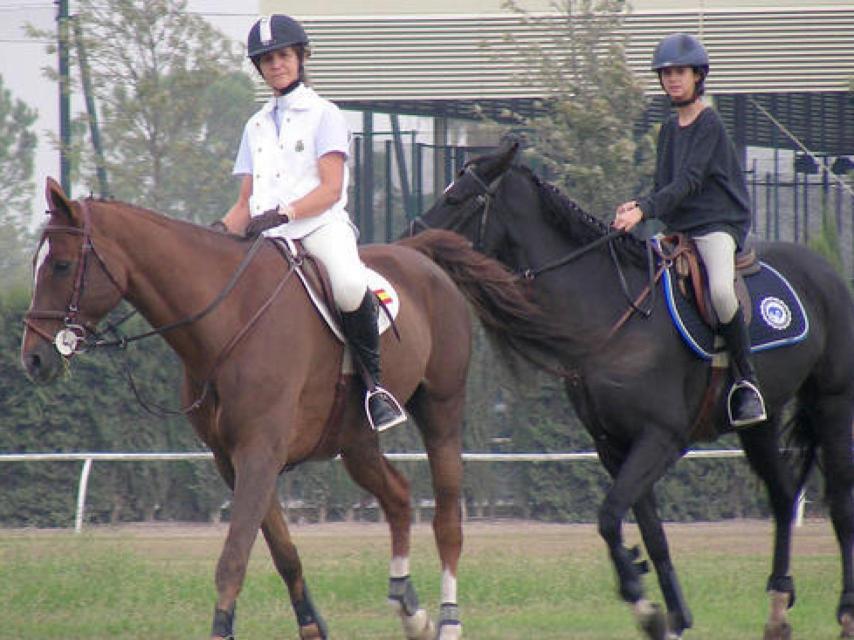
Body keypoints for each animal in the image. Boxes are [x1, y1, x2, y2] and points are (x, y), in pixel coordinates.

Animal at [21, 177, 562, 640]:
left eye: (62, 265)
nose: (34, 358)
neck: (227, 317)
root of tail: (418, 256)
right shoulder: (234, 460)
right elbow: (283, 552)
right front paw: (312, 626)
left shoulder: (260, 452)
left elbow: (234, 558)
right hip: (355, 440)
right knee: (398, 496)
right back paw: (410, 610)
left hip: (441, 413)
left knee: (447, 520)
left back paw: (448, 619)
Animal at [412, 139, 854, 640]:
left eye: (458, 198)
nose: (411, 237)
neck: (612, 315)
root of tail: (825, 270)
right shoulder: (615, 446)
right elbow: (650, 532)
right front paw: (669, 615)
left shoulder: (660, 438)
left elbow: (609, 517)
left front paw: (645, 604)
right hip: (759, 424)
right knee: (782, 496)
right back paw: (778, 606)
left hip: (833, 403)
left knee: (840, 504)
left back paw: (844, 610)